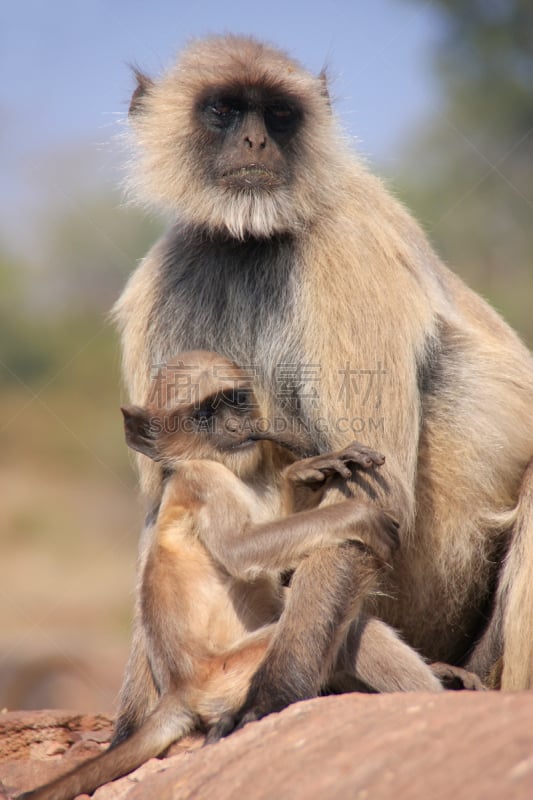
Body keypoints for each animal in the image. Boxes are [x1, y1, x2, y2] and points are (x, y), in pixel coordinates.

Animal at [17, 352, 400, 800]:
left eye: (235, 401)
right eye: (204, 415)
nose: (235, 428)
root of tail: (178, 690)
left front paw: (304, 472)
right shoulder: (201, 479)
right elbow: (240, 549)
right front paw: (359, 515)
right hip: (227, 676)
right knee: (358, 631)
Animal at [110, 36, 528, 736]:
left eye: (279, 114)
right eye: (225, 110)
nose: (256, 141)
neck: (253, 239)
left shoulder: (346, 248)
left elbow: (372, 490)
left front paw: (274, 693)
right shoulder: (171, 273)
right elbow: (166, 491)